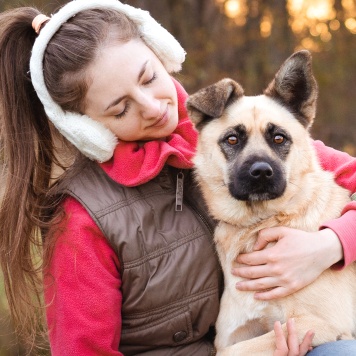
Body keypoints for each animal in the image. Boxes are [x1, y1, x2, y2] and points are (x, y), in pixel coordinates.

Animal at [186, 50, 354, 356]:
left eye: (278, 138)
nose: (261, 172)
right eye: (232, 139)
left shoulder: (320, 324)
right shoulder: (234, 333)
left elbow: (231, 353)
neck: (259, 223)